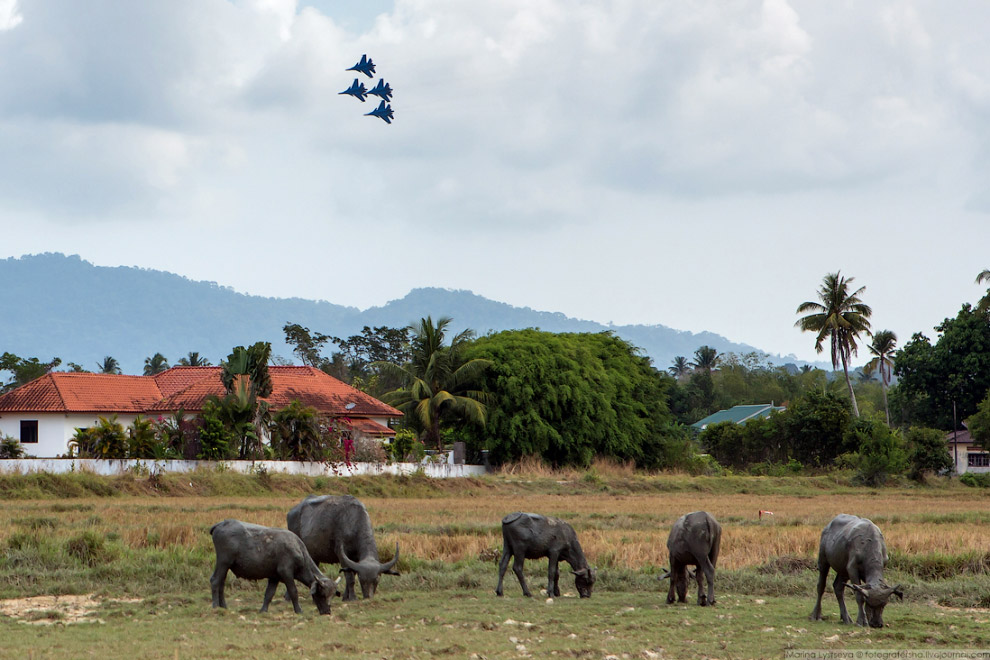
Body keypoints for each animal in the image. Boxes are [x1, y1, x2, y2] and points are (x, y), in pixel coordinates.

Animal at [207, 520, 340, 616]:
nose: (327, 612)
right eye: (322, 594)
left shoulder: (274, 577)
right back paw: (215, 606)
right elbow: (293, 591)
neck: (298, 549)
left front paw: (263, 610)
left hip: (226, 566)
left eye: (333, 595)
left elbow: (269, 594)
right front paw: (299, 610)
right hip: (223, 562)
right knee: (215, 580)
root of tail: (221, 524)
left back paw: (223, 606)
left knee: (221, 583)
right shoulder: (286, 572)